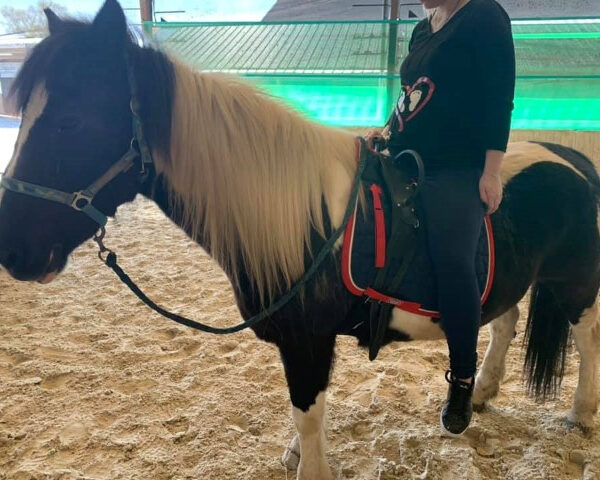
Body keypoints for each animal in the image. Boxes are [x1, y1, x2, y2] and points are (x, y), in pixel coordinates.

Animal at [1, 1, 600, 478]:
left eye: (71, 121)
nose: (14, 251)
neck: (305, 220)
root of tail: (572, 159)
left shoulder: (307, 341)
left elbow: (308, 415)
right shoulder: (309, 342)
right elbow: (308, 415)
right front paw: (293, 450)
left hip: (574, 285)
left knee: (585, 338)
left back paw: (579, 413)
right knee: (503, 320)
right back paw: (482, 393)